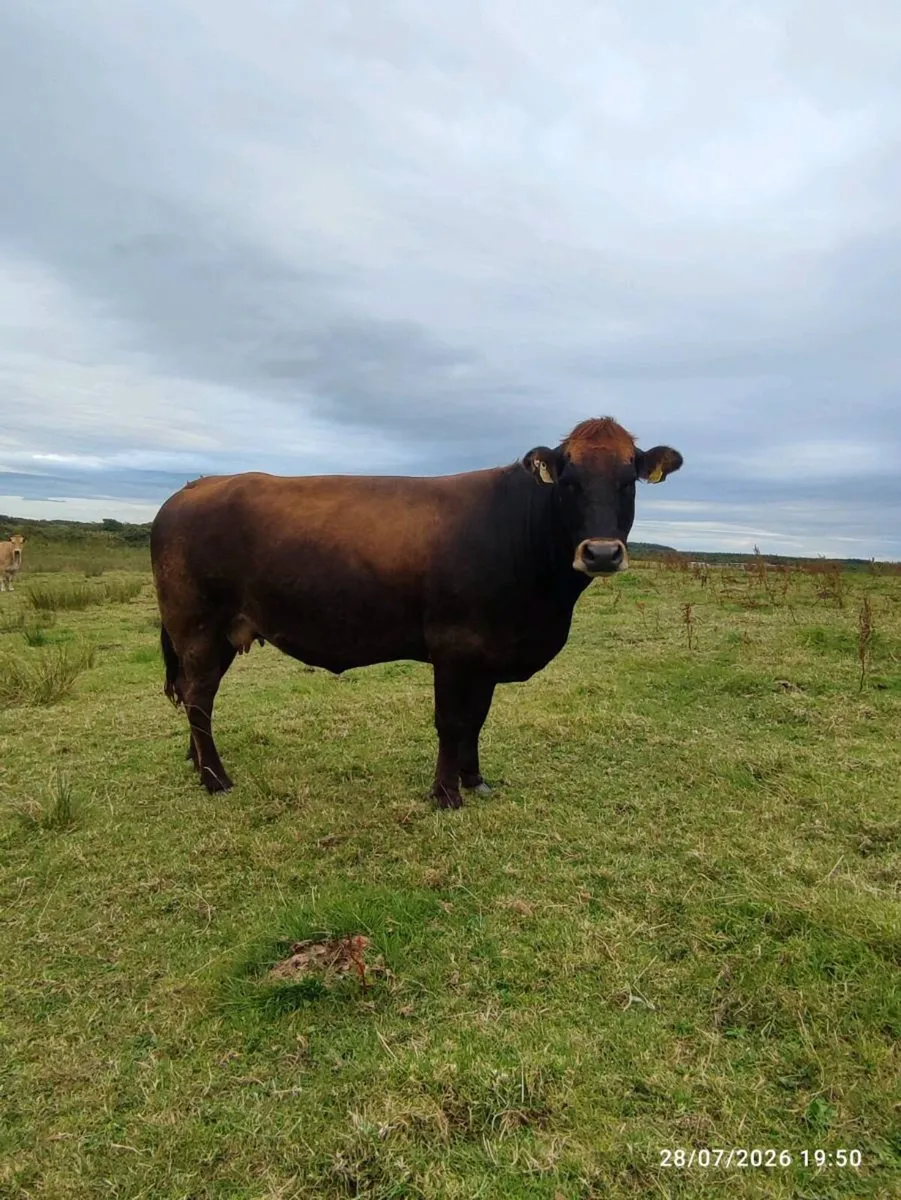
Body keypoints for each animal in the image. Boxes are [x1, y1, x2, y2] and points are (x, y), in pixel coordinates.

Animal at [150, 417, 683, 807]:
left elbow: (477, 719)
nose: (601, 553)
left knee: (197, 699)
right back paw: (216, 779)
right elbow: (451, 721)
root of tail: (192, 488)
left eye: (628, 482)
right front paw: (445, 794)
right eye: (569, 482)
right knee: (199, 698)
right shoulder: (454, 645)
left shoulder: (487, 653)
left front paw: (474, 780)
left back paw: (197, 763)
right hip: (196, 628)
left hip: (217, 635)